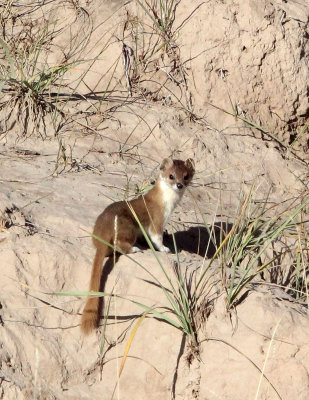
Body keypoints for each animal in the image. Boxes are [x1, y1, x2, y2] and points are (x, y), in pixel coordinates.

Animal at [80, 158, 194, 332]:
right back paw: (135, 248)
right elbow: (156, 237)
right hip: (128, 227)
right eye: (171, 175)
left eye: (186, 176)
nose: (180, 185)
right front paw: (166, 249)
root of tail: (103, 229)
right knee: (120, 245)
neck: (167, 202)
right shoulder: (157, 219)